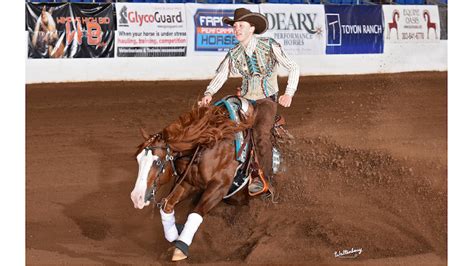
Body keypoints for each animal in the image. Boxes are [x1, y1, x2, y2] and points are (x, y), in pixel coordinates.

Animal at [130, 104, 256, 262]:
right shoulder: (188, 183)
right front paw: (173, 237)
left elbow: (196, 212)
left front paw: (180, 248)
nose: (136, 197)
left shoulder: (218, 187)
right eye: (137, 159)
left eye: (157, 162)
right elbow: (167, 205)